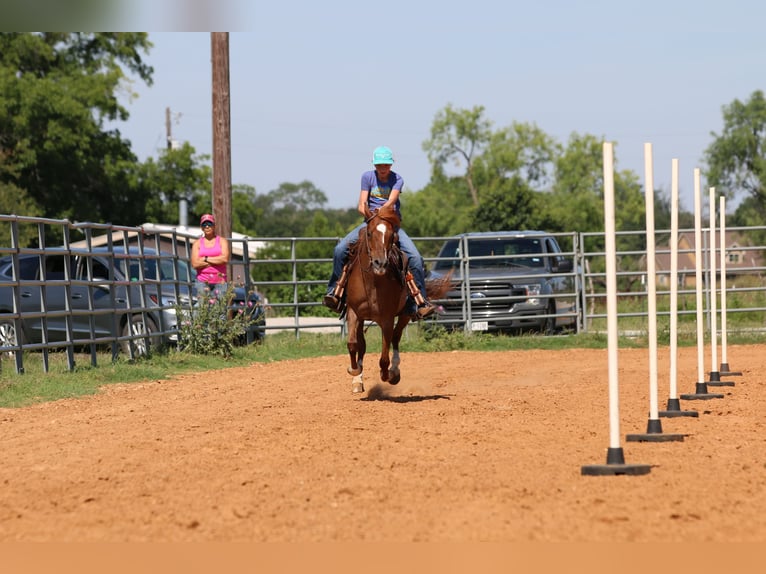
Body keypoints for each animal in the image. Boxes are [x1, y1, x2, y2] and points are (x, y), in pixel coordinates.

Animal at [343, 204, 452, 394]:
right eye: (369, 233)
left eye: (391, 235)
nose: (380, 263)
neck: (372, 283)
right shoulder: (353, 313)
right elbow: (353, 344)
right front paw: (354, 371)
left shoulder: (386, 319)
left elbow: (384, 356)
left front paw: (388, 374)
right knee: (362, 344)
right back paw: (358, 379)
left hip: (405, 313)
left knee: (395, 337)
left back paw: (394, 371)